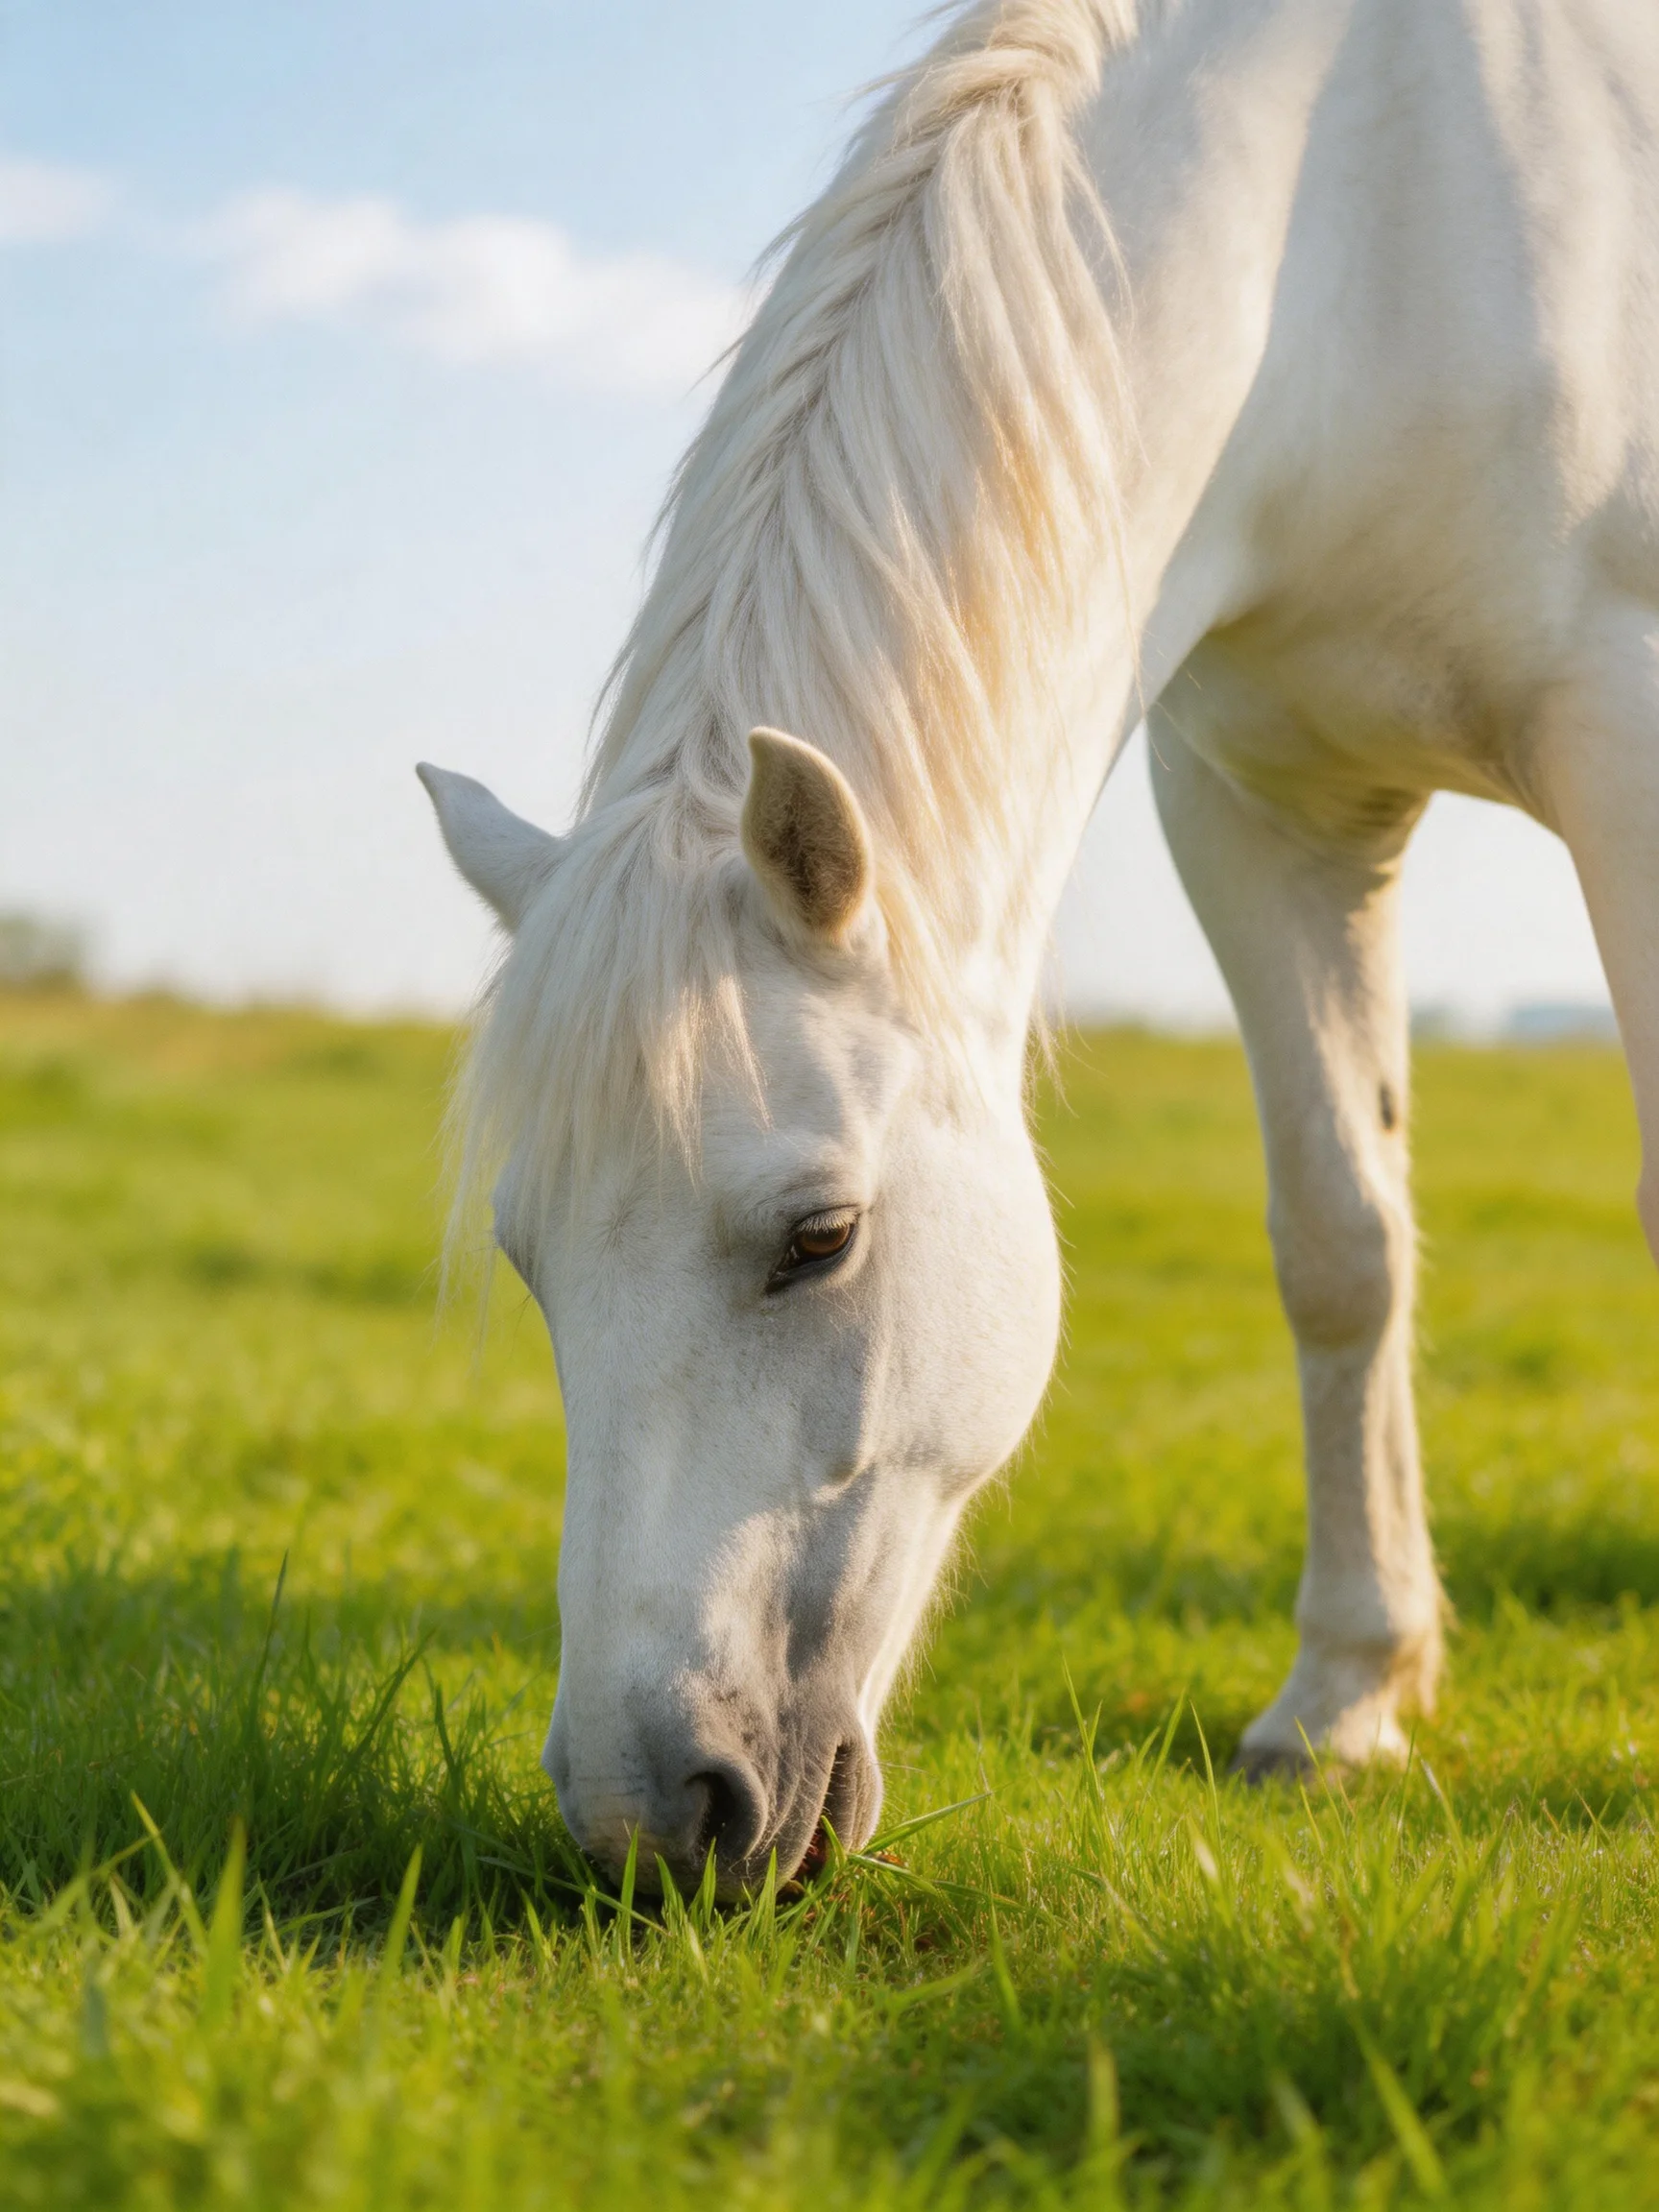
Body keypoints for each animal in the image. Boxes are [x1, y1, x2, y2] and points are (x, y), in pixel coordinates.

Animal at [418, 0, 1659, 1892]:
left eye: (820, 1237)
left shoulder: (1627, 731)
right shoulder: (1258, 804)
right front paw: (1341, 1701)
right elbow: (1340, 1244)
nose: (650, 1816)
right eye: (531, 1258)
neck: (1366, 219)